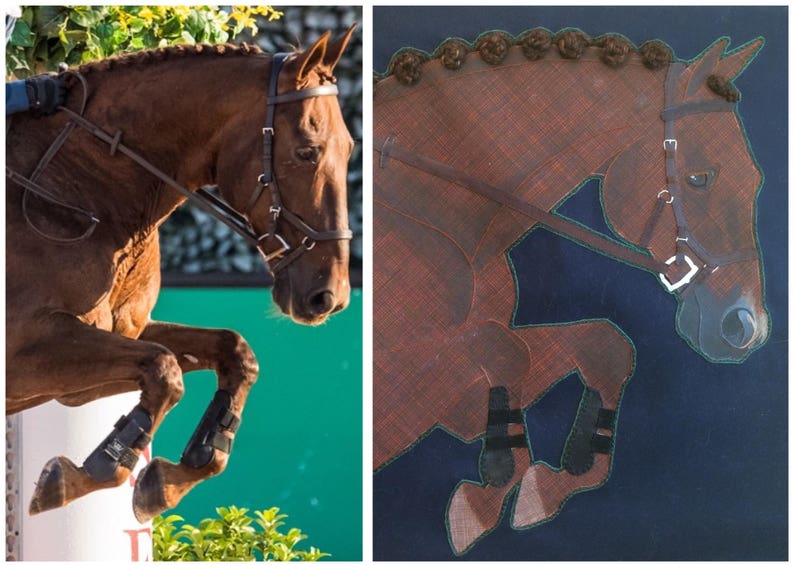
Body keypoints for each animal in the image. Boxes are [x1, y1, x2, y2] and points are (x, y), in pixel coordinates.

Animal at [6, 25, 357, 522]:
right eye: (307, 152)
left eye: (350, 149)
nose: (330, 296)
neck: (79, 186)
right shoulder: (24, 352)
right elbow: (164, 370)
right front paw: (83, 474)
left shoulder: (117, 337)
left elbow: (232, 352)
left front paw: (177, 475)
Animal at [373, 29, 766, 554]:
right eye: (700, 178)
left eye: (757, 178)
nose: (745, 327)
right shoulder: (403, 362)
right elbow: (504, 349)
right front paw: (484, 498)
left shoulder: (452, 395)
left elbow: (604, 344)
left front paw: (547, 486)